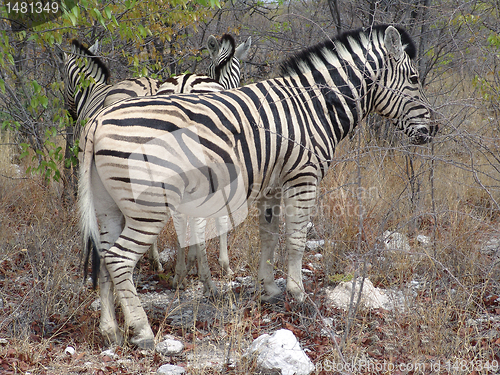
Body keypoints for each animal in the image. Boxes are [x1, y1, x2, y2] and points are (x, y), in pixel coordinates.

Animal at [77, 25, 438, 350]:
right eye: (414, 80)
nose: (433, 129)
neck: (314, 108)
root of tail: (97, 122)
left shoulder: (272, 186)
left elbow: (269, 235)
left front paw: (270, 288)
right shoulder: (303, 178)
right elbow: (296, 240)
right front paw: (297, 293)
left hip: (109, 208)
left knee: (106, 256)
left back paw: (111, 331)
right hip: (149, 207)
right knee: (120, 259)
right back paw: (142, 332)